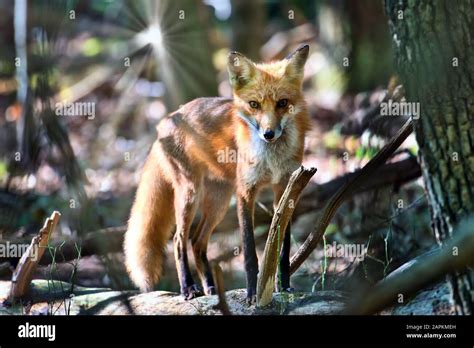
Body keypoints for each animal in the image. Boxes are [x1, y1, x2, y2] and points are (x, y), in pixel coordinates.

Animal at [124, 43, 312, 300]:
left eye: (282, 103)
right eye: (254, 104)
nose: (268, 134)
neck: (272, 159)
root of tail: (167, 119)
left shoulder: (286, 189)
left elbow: (283, 246)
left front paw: (283, 286)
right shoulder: (245, 192)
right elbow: (250, 251)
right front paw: (252, 292)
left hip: (219, 202)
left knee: (197, 241)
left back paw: (211, 288)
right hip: (190, 194)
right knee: (179, 240)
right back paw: (188, 287)